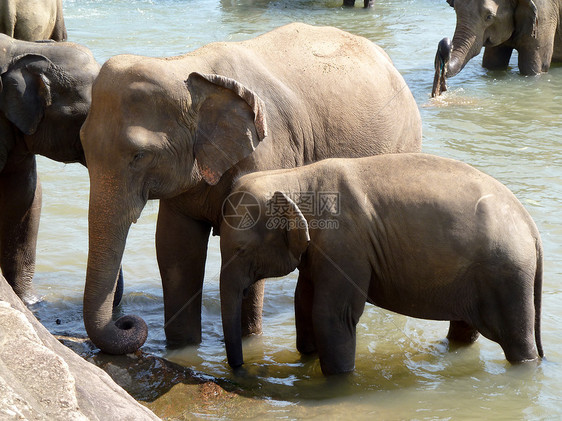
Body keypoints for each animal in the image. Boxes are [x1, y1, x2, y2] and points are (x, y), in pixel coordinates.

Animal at [77, 22, 420, 354]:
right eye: (82, 144)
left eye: (139, 156)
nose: (127, 322)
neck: (185, 68)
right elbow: (176, 251)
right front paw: (182, 348)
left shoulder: (267, 152)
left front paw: (249, 341)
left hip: (405, 141)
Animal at [219, 153, 544, 374]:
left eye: (240, 250)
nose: (242, 369)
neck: (295, 177)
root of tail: (531, 226)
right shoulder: (320, 253)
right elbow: (304, 303)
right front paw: (307, 359)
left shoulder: (345, 248)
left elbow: (331, 315)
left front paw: (339, 382)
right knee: (465, 329)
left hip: (507, 274)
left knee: (517, 341)